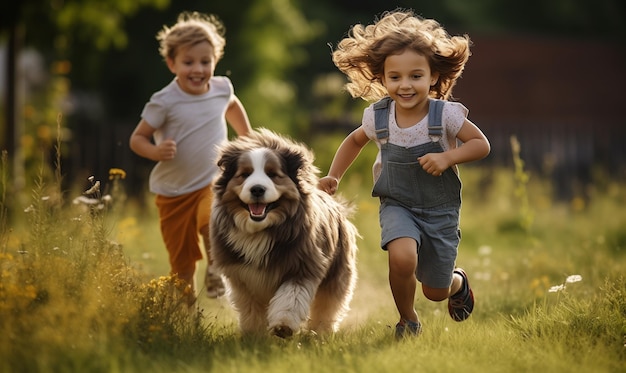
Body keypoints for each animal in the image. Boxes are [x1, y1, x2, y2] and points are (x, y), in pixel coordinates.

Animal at [208, 128, 356, 338]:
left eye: (272, 174)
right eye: (245, 174)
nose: (257, 189)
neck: (260, 230)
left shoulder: (303, 265)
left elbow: (290, 298)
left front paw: (283, 326)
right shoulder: (242, 276)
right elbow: (251, 307)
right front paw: (254, 334)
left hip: (338, 272)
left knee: (328, 305)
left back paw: (320, 332)